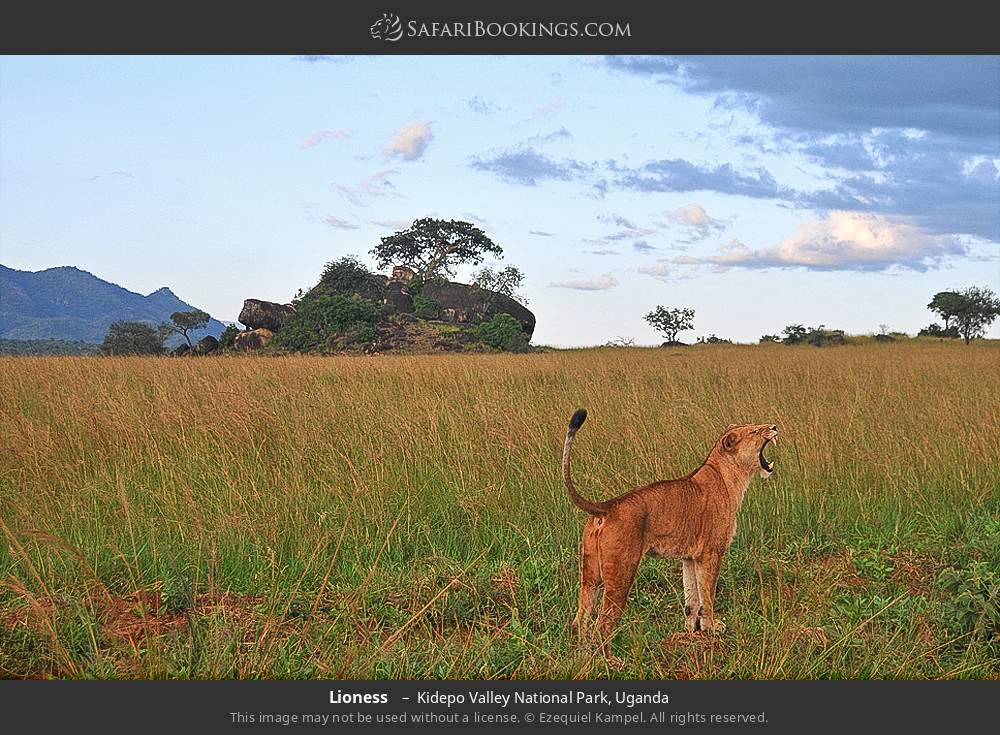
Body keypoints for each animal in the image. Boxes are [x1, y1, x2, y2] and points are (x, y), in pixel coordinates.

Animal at [562, 408, 778, 649]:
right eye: (755, 430)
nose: (774, 427)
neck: (729, 476)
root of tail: (608, 506)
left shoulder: (691, 556)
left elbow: (692, 598)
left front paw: (693, 630)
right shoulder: (711, 553)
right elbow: (708, 593)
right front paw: (712, 628)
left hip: (590, 575)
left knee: (579, 620)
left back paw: (582, 653)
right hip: (621, 572)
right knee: (603, 625)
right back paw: (611, 657)